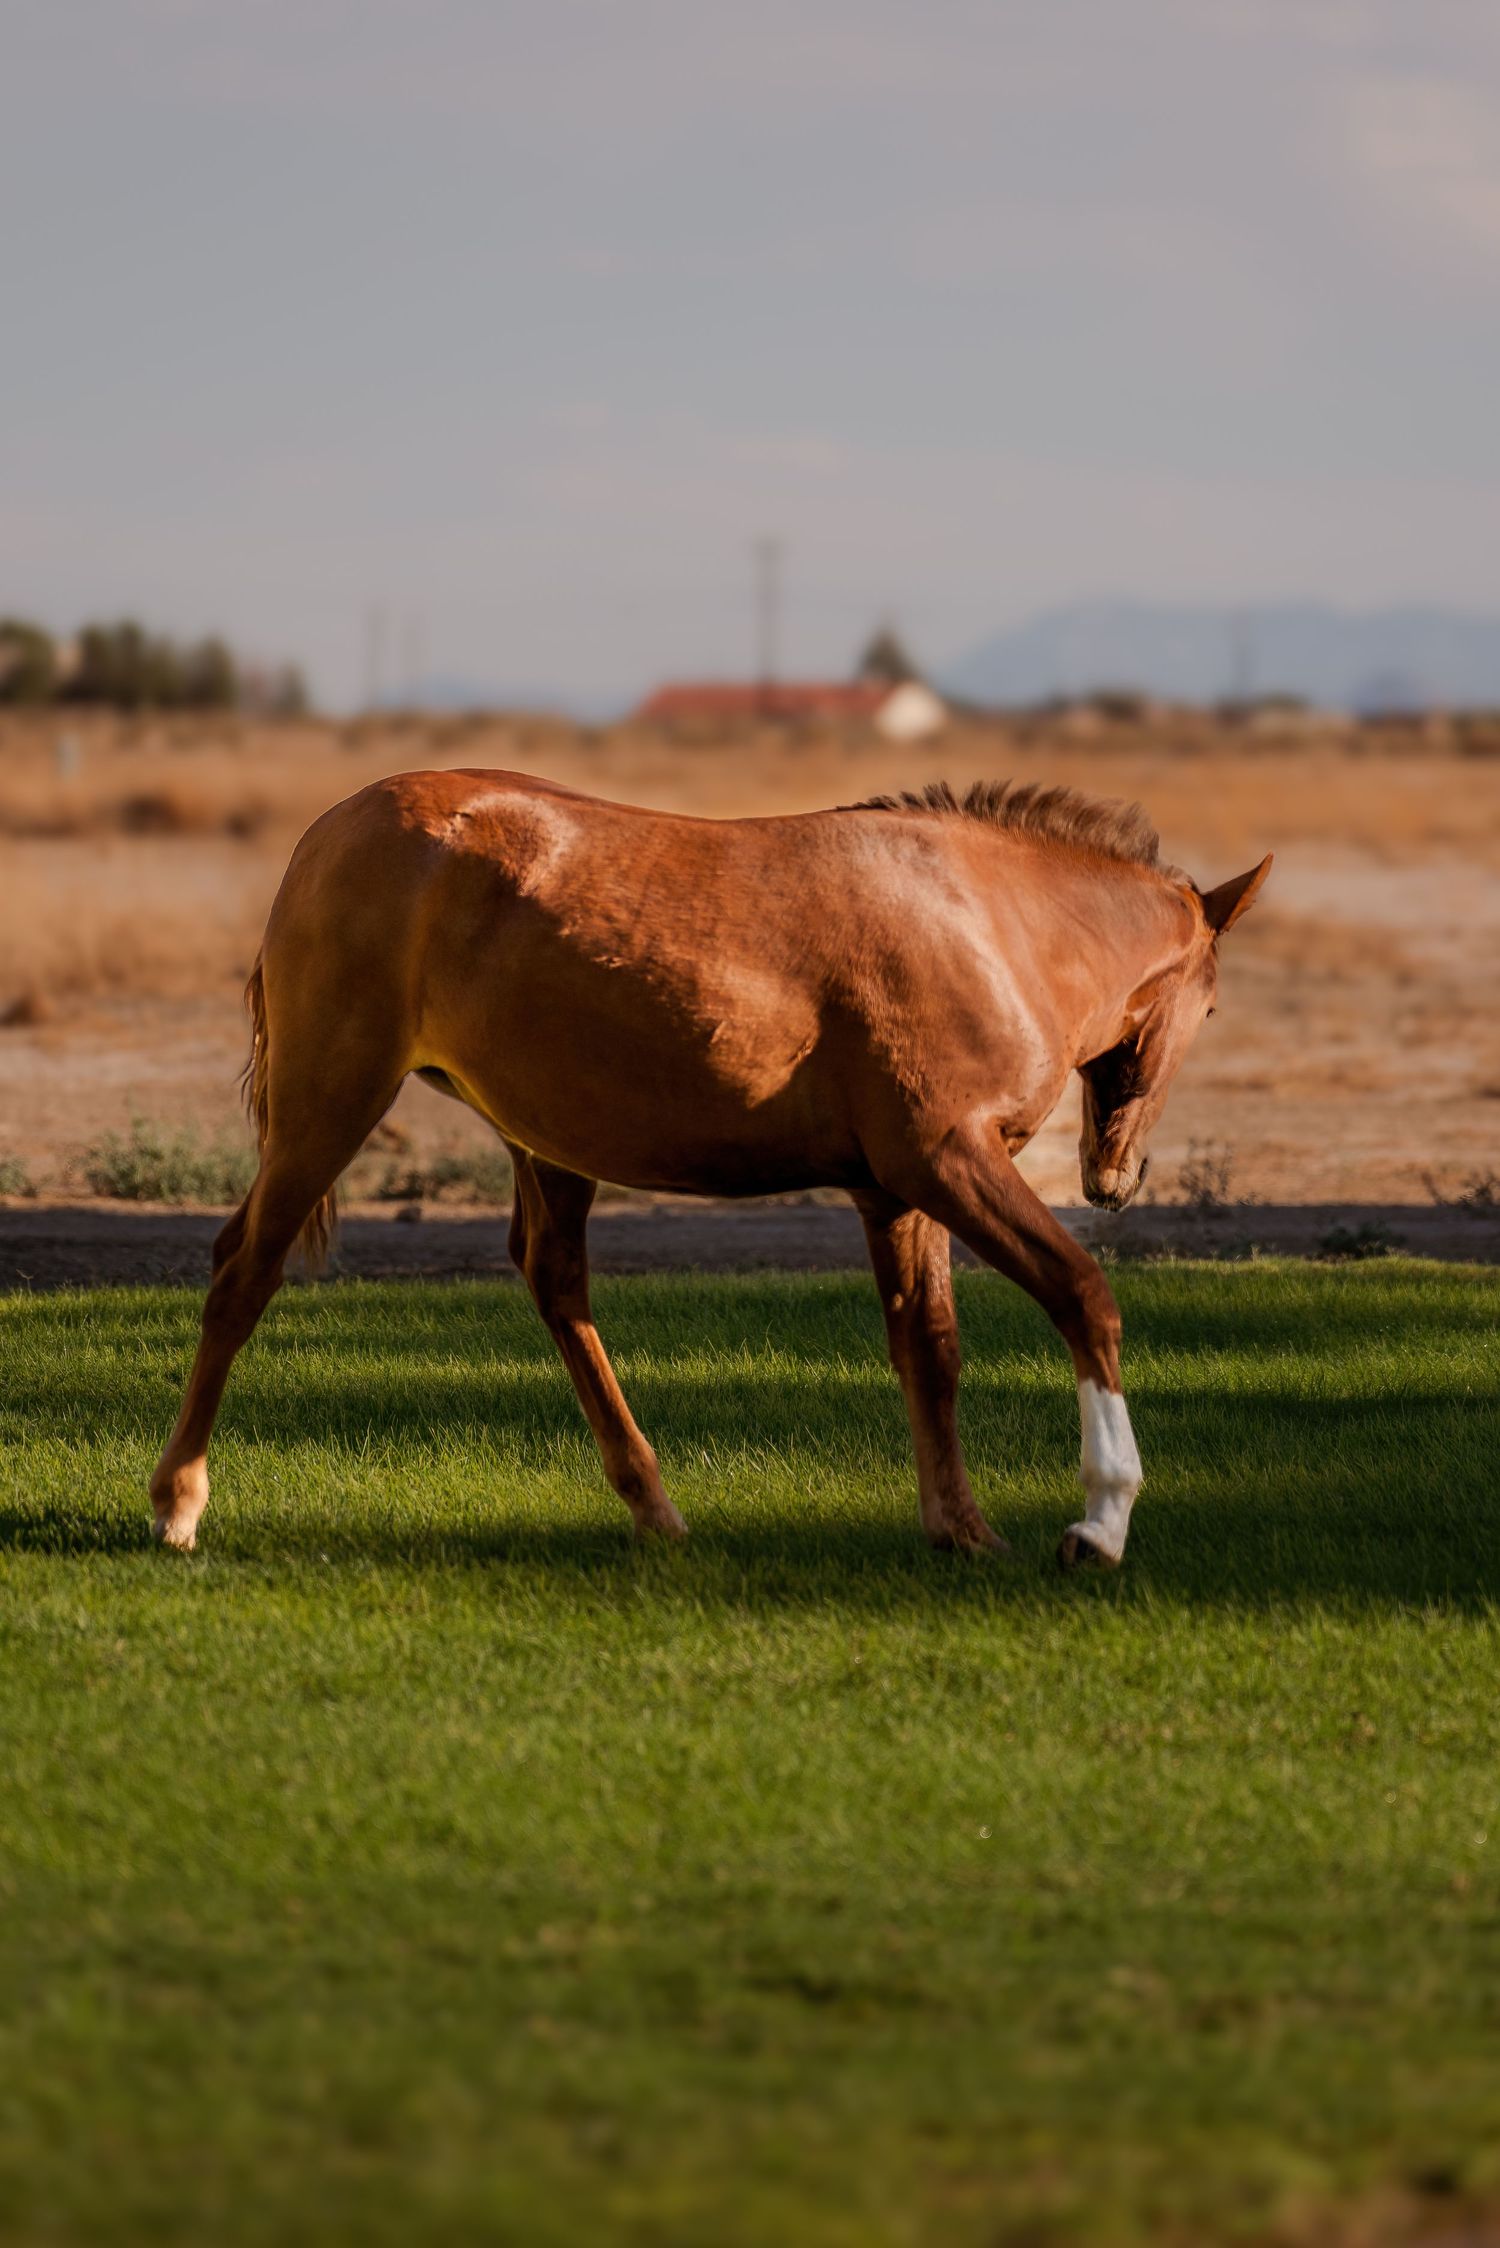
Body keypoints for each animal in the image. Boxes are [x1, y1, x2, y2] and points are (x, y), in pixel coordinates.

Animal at [150, 771, 1270, 1568]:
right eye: (1213, 1005)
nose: (1117, 1174)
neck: (985, 919)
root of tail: (327, 832)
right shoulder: (946, 1160)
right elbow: (1083, 1297)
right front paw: (1101, 1522)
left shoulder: (896, 1195)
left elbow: (932, 1350)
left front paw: (960, 1527)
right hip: (331, 1101)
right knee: (242, 1274)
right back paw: (178, 1502)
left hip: (545, 1144)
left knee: (556, 1286)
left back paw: (653, 1504)